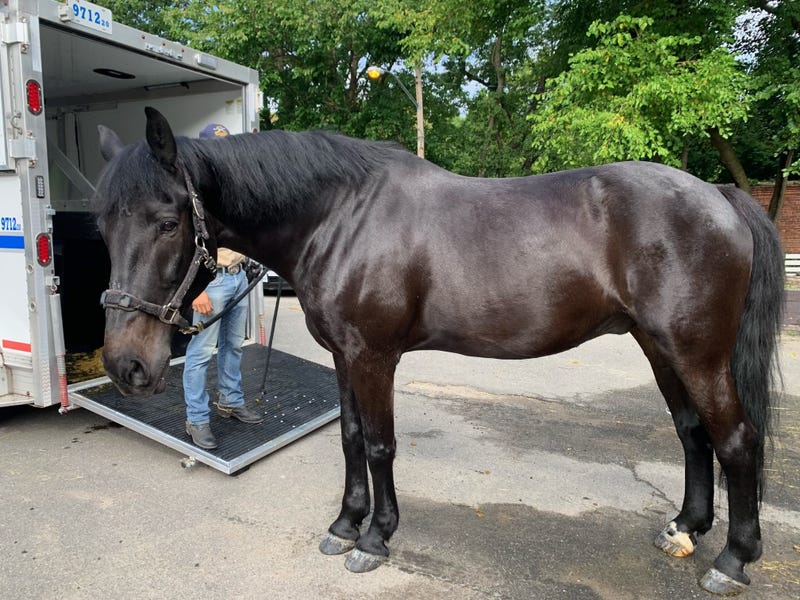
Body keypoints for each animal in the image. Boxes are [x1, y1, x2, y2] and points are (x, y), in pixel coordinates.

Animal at [94, 108, 780, 596]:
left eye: (168, 222)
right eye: (102, 224)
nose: (128, 366)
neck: (339, 216)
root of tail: (718, 195)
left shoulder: (373, 357)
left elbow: (379, 445)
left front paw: (375, 540)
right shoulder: (343, 356)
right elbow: (350, 439)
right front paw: (344, 526)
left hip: (697, 353)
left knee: (736, 439)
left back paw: (733, 559)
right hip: (659, 347)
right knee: (692, 432)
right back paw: (685, 529)